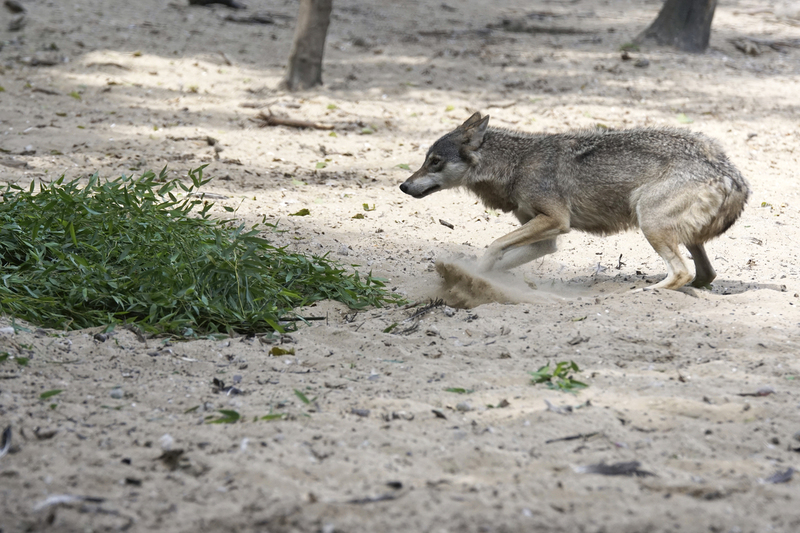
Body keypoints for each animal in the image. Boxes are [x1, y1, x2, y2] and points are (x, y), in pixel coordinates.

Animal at [399, 113, 750, 290]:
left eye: (434, 162)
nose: (403, 186)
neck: (515, 164)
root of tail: (730, 172)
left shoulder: (555, 221)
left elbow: (493, 246)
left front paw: (475, 278)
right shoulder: (545, 239)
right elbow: (498, 256)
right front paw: (478, 278)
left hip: (649, 222)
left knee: (681, 274)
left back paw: (643, 291)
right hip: (682, 236)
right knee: (704, 276)